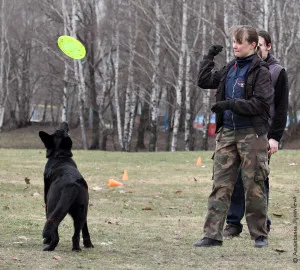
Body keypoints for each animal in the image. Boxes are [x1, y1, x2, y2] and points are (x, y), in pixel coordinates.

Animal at [39, 122, 92, 251]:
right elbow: (85, 229)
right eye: (62, 130)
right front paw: (88, 244)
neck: (60, 156)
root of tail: (71, 185)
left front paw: (46, 240)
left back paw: (49, 246)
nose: (65, 123)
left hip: (52, 208)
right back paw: (76, 248)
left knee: (54, 231)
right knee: (76, 234)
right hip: (81, 211)